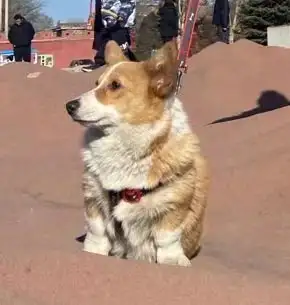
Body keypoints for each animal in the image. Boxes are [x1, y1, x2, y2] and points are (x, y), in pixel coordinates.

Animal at [65, 39, 210, 264]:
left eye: (115, 85)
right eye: (96, 83)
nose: (69, 106)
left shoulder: (173, 203)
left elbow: (167, 238)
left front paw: (172, 261)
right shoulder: (94, 197)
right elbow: (96, 232)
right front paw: (92, 254)